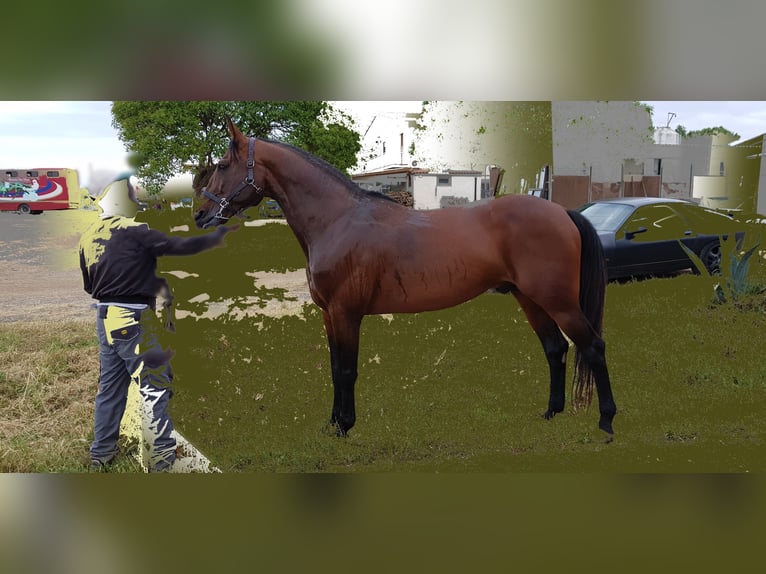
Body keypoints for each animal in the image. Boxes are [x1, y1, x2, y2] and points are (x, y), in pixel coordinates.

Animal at [196, 118, 616, 440]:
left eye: (222, 165)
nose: (200, 215)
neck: (338, 220)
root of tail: (562, 213)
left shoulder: (346, 313)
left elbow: (346, 370)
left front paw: (345, 427)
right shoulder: (330, 315)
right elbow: (333, 368)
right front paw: (332, 423)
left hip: (559, 301)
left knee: (593, 348)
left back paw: (607, 422)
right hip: (530, 298)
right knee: (555, 349)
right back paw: (551, 413)